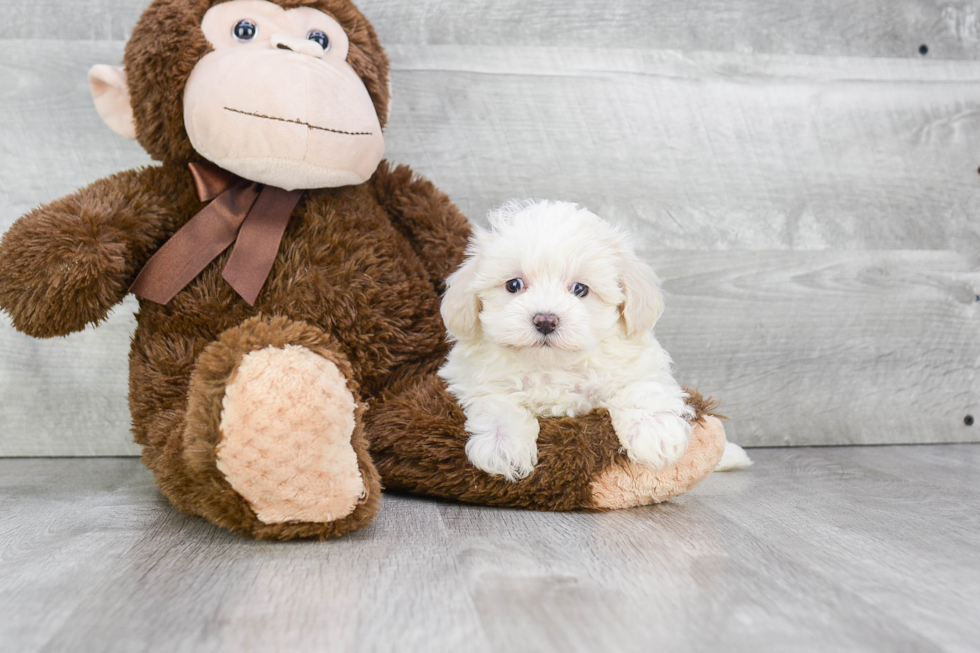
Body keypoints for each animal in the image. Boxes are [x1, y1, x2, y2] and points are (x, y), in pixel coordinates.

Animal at [438, 201, 704, 482]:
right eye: (514, 285)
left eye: (580, 289)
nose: (545, 320)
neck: (553, 366)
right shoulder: (474, 377)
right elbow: (497, 401)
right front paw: (502, 444)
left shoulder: (638, 363)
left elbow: (641, 386)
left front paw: (654, 430)